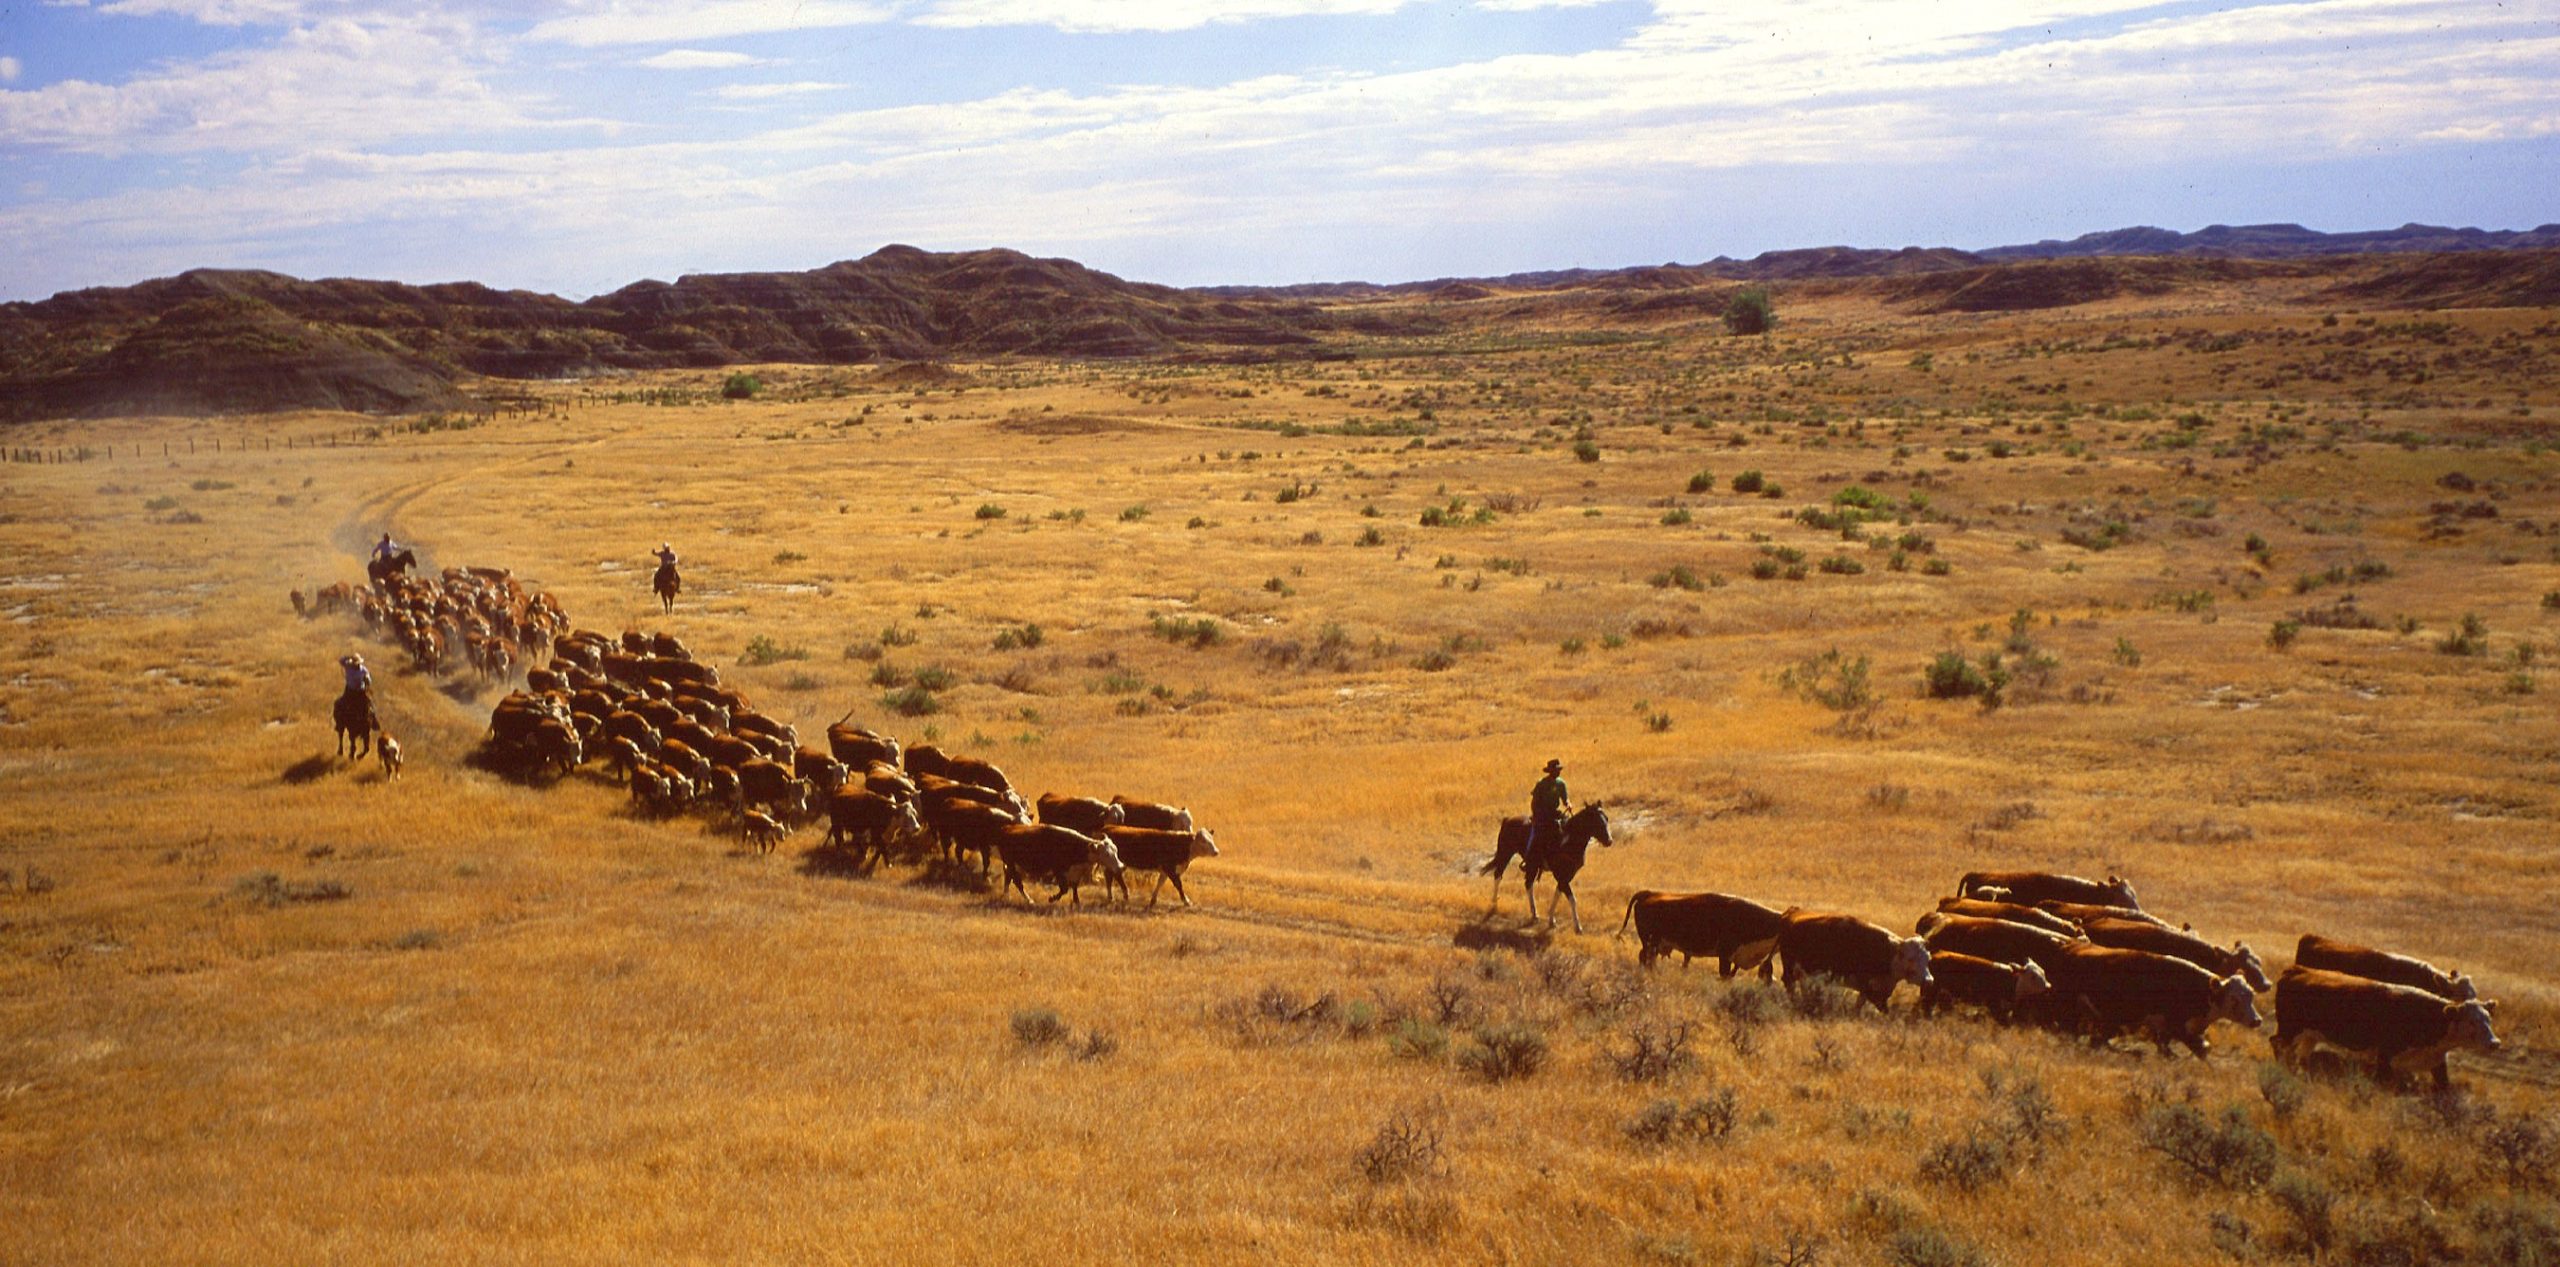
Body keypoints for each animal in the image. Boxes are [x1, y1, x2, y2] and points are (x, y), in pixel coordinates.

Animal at [1474, 808, 1607, 936]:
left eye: (1606, 819)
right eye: (1597, 821)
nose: (1609, 840)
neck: (1568, 841)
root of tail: (1507, 819)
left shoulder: (1567, 876)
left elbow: (1558, 894)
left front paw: (1551, 920)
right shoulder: (1561, 875)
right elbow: (1572, 899)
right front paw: (1578, 928)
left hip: (1531, 865)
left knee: (1528, 883)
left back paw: (1534, 914)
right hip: (1506, 853)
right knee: (1498, 875)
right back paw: (1494, 904)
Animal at [2273, 967, 2488, 1085]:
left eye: (2488, 1019)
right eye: (2471, 1021)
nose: (2493, 1042)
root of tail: (2296, 970)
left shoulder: (2436, 1062)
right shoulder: (2385, 1056)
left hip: (2309, 1035)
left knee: (2301, 1055)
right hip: (2289, 1029)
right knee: (2276, 1043)